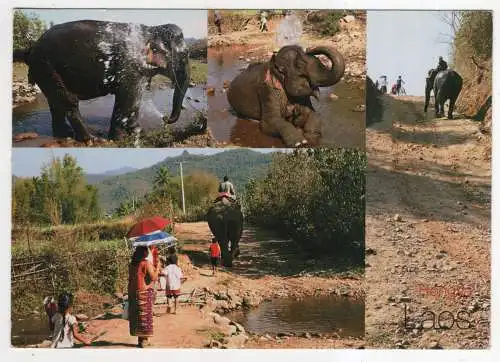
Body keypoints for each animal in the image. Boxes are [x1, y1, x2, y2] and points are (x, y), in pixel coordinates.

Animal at [13, 19, 190, 141]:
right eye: (186, 55)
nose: (165, 118)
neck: (152, 30)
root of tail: (30, 48)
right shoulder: (130, 65)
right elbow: (128, 99)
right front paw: (123, 138)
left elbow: (132, 101)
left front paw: (135, 133)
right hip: (45, 65)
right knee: (69, 101)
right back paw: (92, 138)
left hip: (45, 69)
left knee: (56, 103)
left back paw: (64, 135)